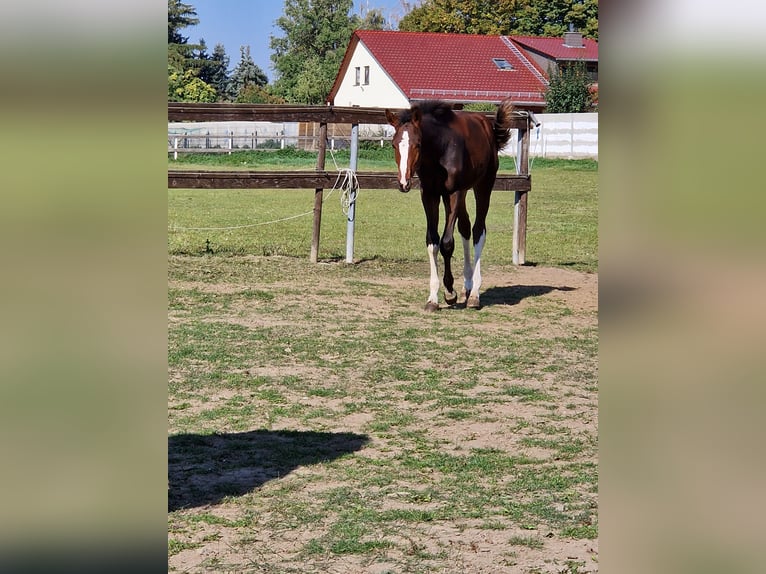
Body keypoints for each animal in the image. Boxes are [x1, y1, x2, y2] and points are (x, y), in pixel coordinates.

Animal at [385, 99, 514, 311]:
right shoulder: (429, 194)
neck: (440, 150)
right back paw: (466, 287)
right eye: (394, 144)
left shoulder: (453, 193)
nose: (404, 182)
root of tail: (486, 125)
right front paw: (433, 298)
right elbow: (433, 241)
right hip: (460, 195)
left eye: (418, 144)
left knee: (478, 231)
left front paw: (449, 293)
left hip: (483, 186)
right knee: (465, 228)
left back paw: (474, 294)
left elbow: (447, 242)